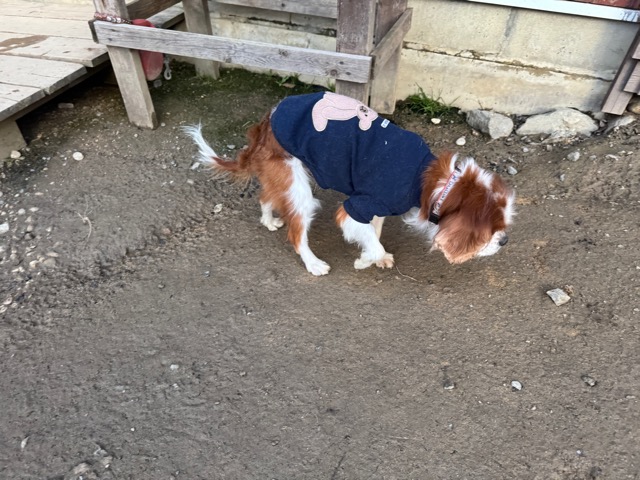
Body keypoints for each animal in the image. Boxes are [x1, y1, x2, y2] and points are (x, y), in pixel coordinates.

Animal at [185, 92, 515, 276]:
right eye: (491, 231)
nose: (505, 242)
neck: (433, 181)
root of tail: (266, 121)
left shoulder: (377, 204)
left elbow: (374, 234)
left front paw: (370, 257)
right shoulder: (356, 207)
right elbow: (371, 240)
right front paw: (365, 261)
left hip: (284, 176)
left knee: (266, 197)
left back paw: (268, 221)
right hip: (298, 189)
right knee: (296, 233)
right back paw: (313, 263)